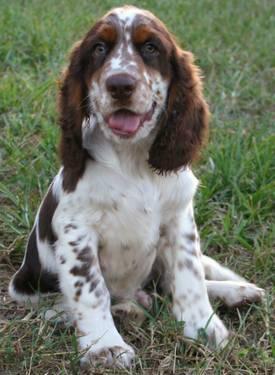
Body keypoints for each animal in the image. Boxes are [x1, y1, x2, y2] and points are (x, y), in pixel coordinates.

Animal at [9, 5, 266, 370]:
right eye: (99, 48)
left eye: (151, 48)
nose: (120, 84)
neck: (131, 161)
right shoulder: (76, 229)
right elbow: (91, 289)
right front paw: (105, 347)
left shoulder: (179, 218)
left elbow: (189, 274)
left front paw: (203, 327)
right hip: (26, 287)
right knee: (62, 308)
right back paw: (126, 311)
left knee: (170, 282)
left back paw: (236, 292)